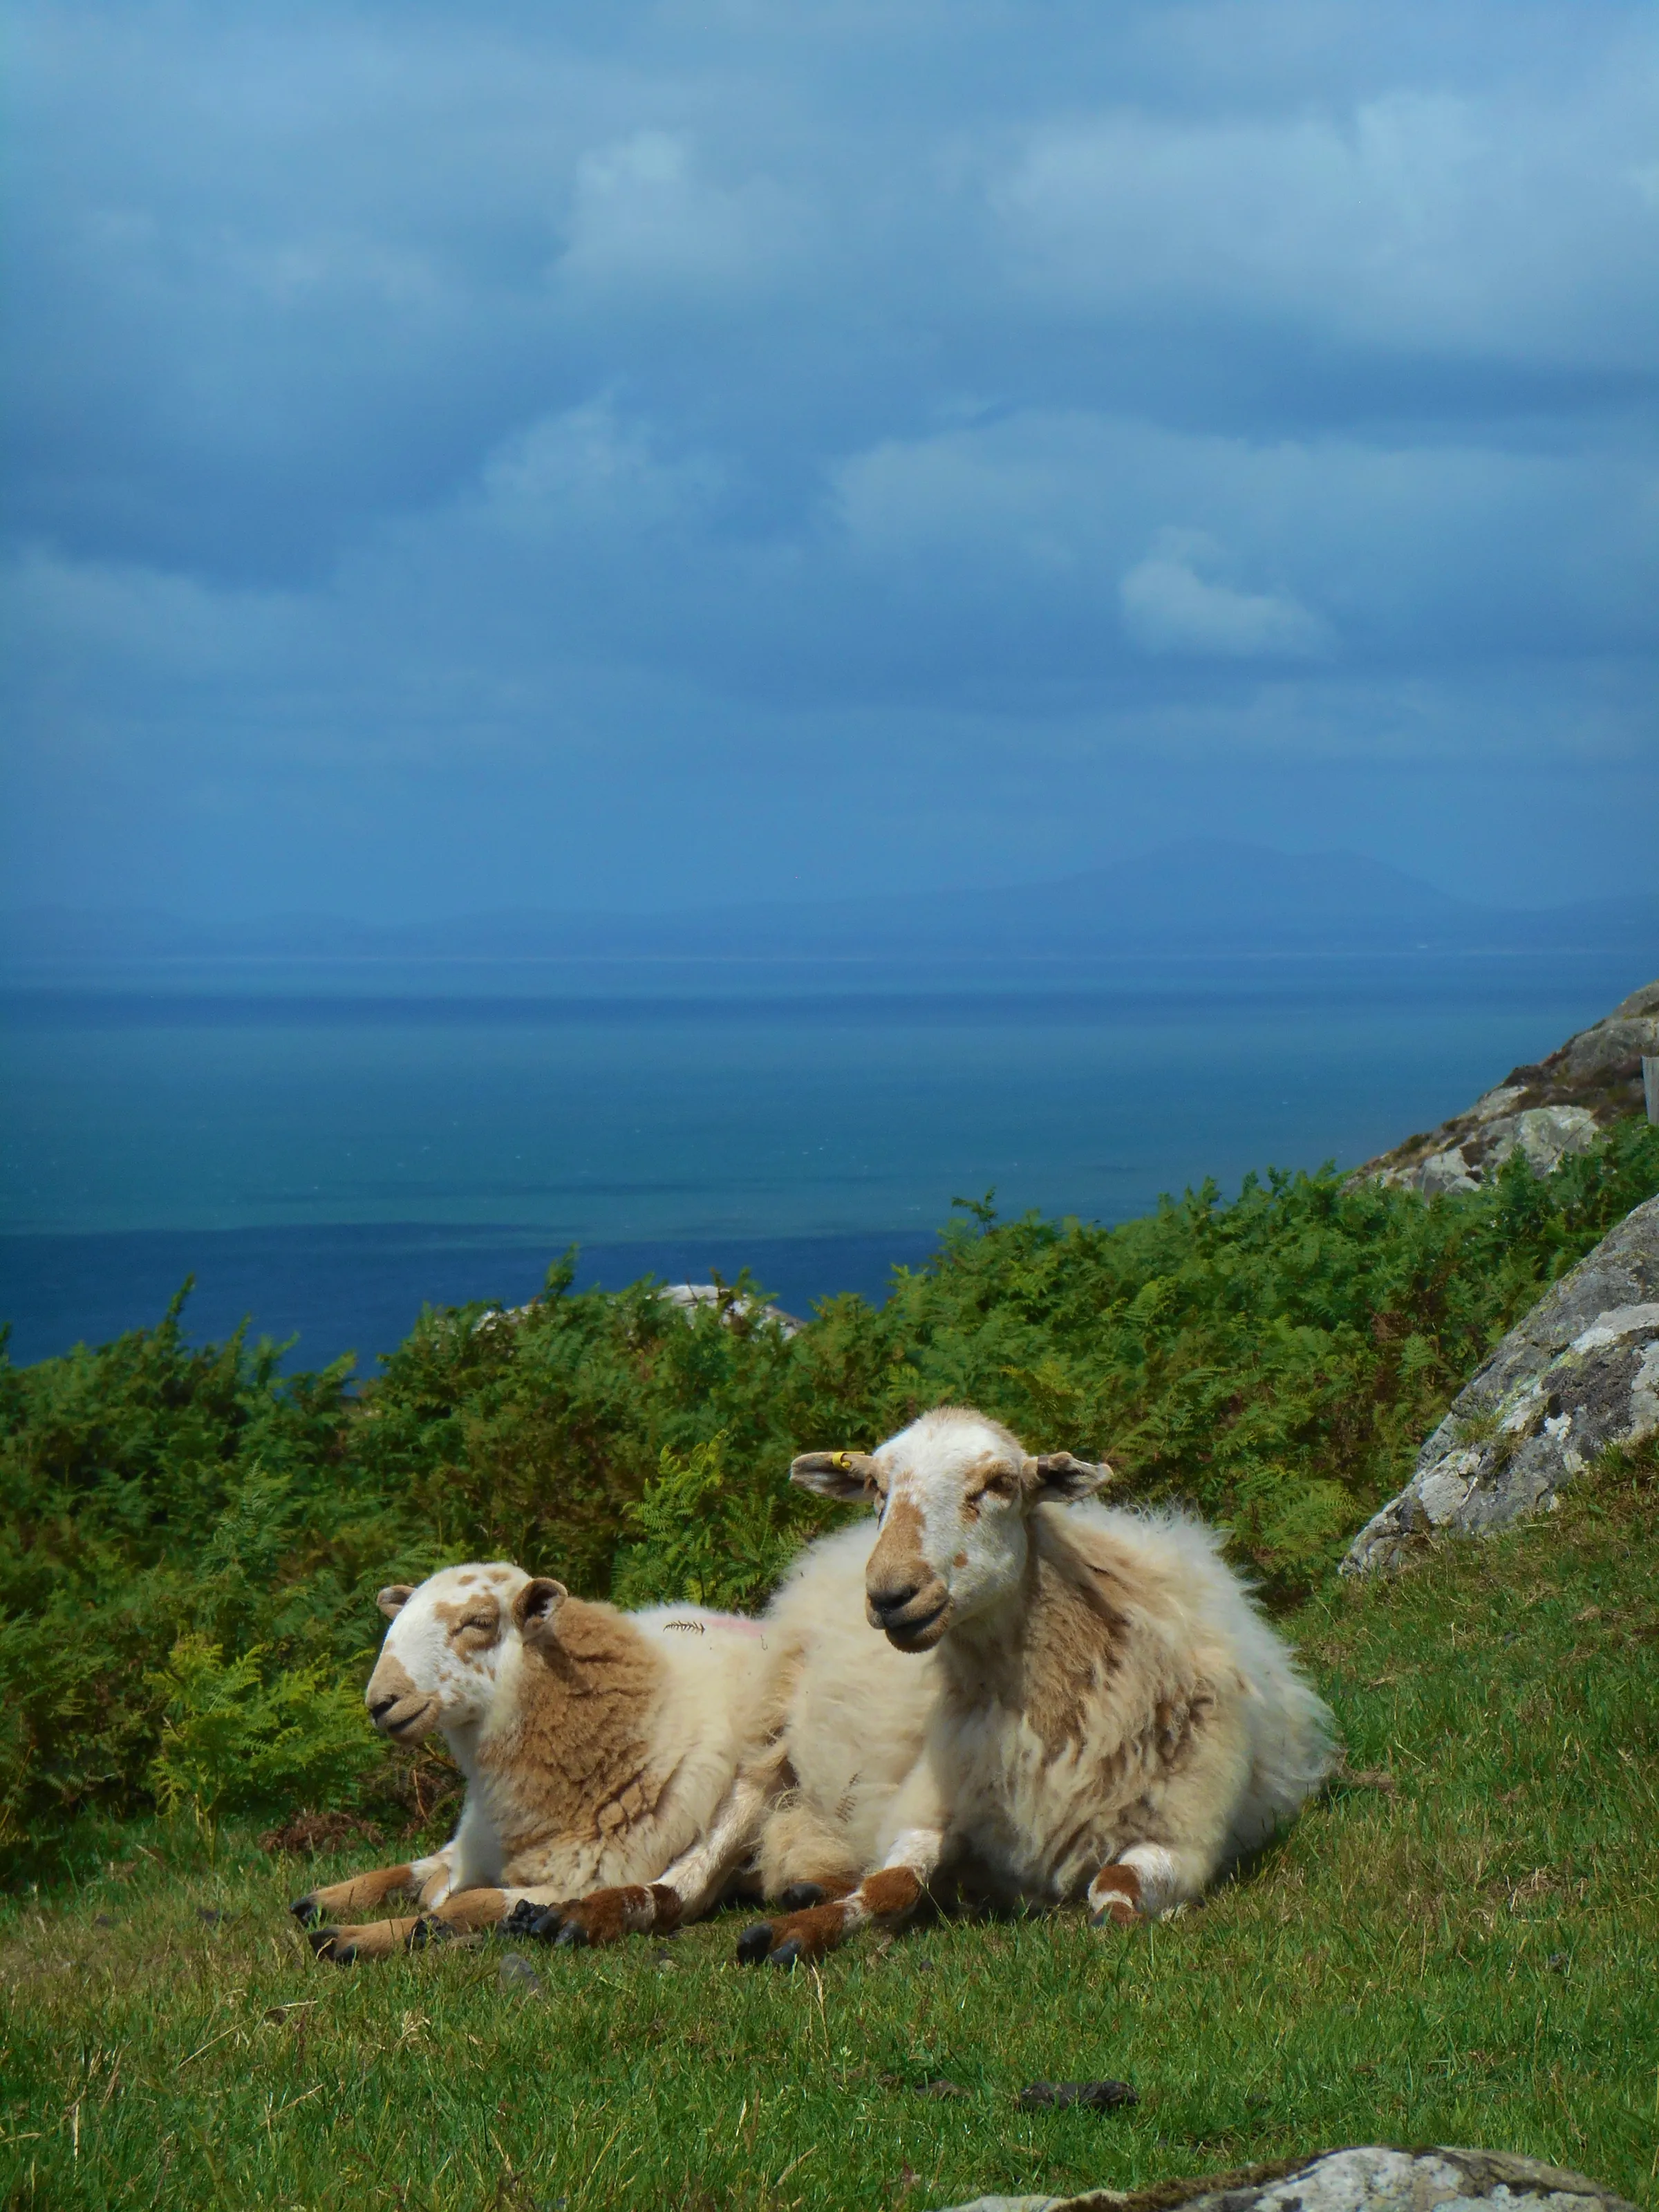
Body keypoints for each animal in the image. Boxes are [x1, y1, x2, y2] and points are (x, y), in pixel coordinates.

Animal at [291, 1528, 940, 1963]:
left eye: (476, 1622)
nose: (381, 1701)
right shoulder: (469, 1847)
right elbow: (408, 1870)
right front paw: (328, 1907)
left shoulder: (579, 1879)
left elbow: (462, 1905)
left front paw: (372, 1936)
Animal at [735, 1406, 1336, 1966]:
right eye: (877, 1487)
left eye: (1001, 1483)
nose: (890, 1594)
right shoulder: (926, 1804)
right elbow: (891, 1884)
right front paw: (799, 1930)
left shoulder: (1184, 1837)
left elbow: (1115, 1888)